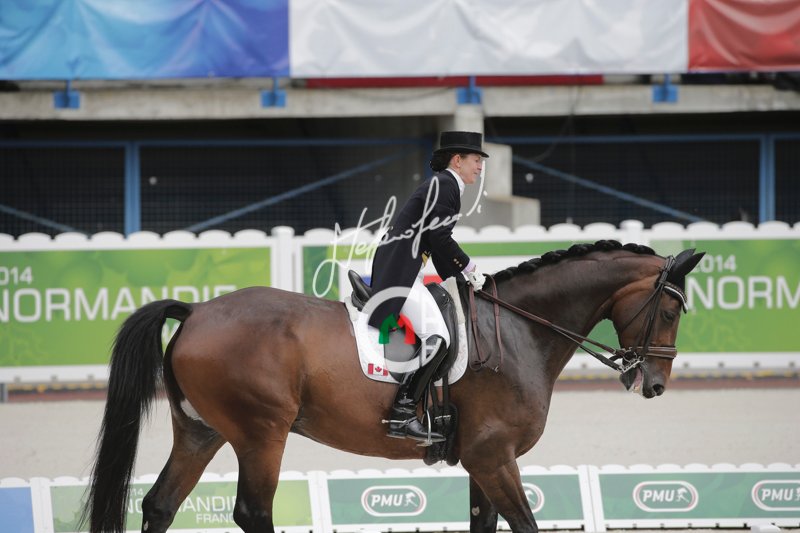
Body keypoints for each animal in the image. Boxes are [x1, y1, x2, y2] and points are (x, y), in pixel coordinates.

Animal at [82, 240, 703, 533]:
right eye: (672, 310)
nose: (654, 384)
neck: (521, 327)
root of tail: (196, 311)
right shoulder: (493, 454)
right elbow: (526, 524)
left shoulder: (482, 460)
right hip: (262, 435)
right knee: (252, 513)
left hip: (201, 432)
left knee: (160, 505)